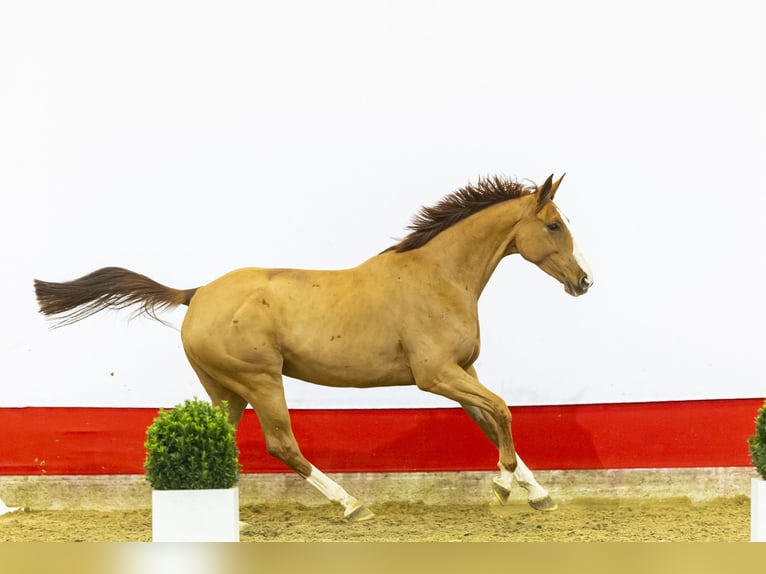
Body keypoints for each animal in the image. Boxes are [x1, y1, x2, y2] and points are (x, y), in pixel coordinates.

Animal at [34, 174, 592, 520]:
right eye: (553, 224)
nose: (584, 281)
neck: (438, 277)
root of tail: (196, 293)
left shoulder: (463, 372)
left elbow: (492, 419)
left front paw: (538, 494)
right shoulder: (435, 375)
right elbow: (503, 411)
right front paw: (503, 488)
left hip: (225, 390)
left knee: (224, 438)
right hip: (260, 380)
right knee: (283, 444)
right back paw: (351, 504)